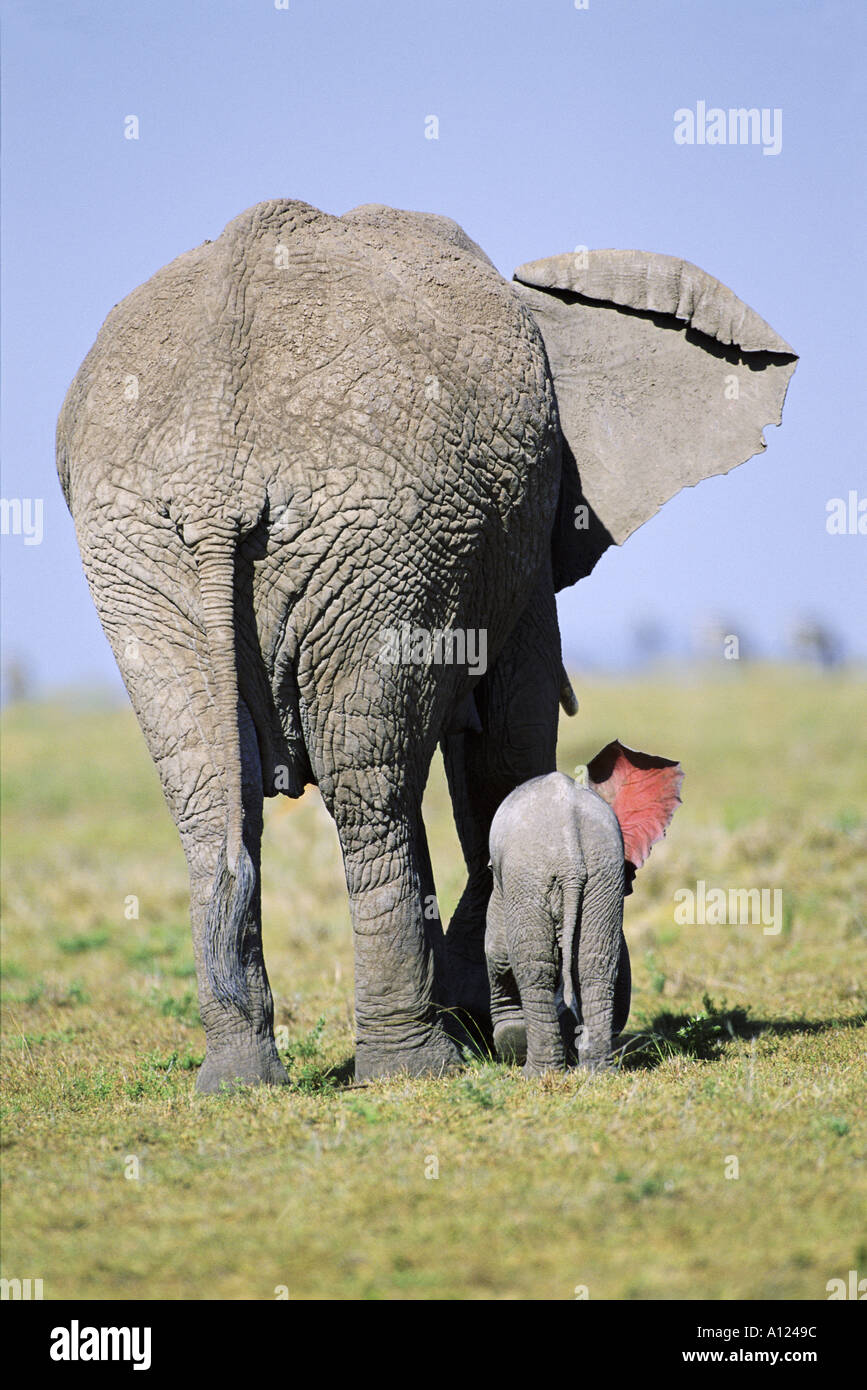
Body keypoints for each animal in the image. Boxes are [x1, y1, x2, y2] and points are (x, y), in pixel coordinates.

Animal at [483, 739, 680, 1073]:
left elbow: (497, 951)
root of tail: (570, 857)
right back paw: (597, 1071)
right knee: (596, 962)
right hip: (600, 874)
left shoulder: (504, 878)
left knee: (534, 964)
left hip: (529, 874)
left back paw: (537, 1071)